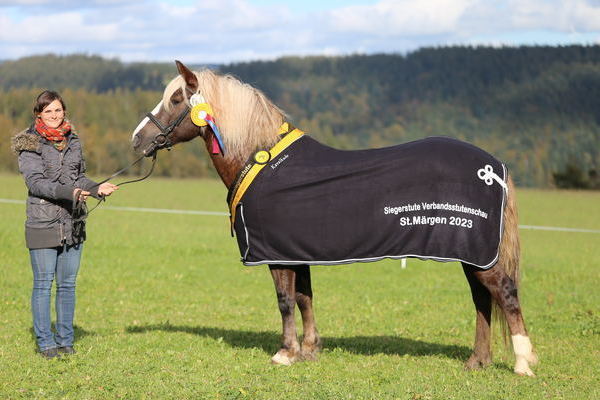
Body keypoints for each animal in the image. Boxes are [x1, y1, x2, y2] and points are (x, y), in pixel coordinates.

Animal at [132, 61, 540, 376]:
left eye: (176, 99)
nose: (138, 140)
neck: (262, 160)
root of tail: (494, 168)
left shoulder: (277, 255)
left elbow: (285, 300)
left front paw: (285, 353)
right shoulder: (295, 251)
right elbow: (304, 298)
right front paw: (310, 349)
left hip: (481, 255)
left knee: (505, 294)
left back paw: (522, 364)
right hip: (472, 255)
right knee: (482, 301)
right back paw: (477, 361)